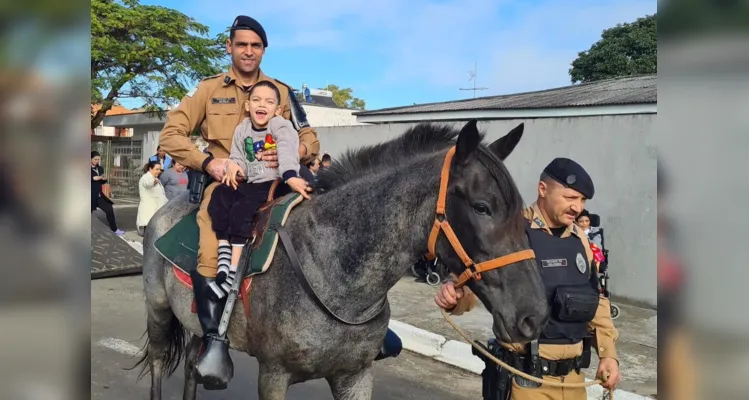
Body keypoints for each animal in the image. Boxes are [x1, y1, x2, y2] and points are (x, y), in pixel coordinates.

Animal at [137, 119, 548, 400]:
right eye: (482, 207)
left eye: (520, 211)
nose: (534, 316)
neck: (335, 271)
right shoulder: (273, 376)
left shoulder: (355, 376)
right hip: (158, 310)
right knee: (159, 361)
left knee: (192, 367)